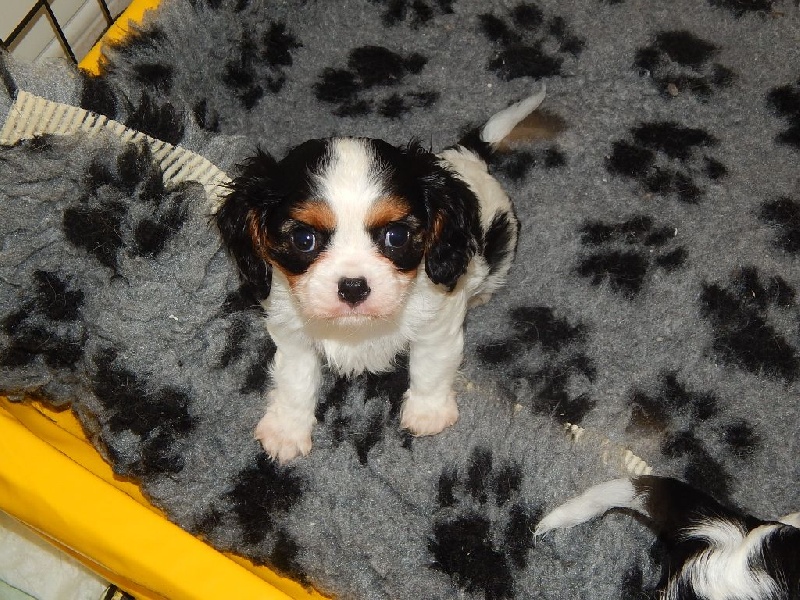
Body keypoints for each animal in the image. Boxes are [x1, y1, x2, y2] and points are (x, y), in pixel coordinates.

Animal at [214, 87, 546, 462]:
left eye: (396, 236)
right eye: (304, 239)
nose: (353, 287)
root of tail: (464, 156)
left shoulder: (438, 319)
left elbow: (430, 363)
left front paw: (428, 412)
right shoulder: (291, 328)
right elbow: (296, 375)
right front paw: (287, 428)